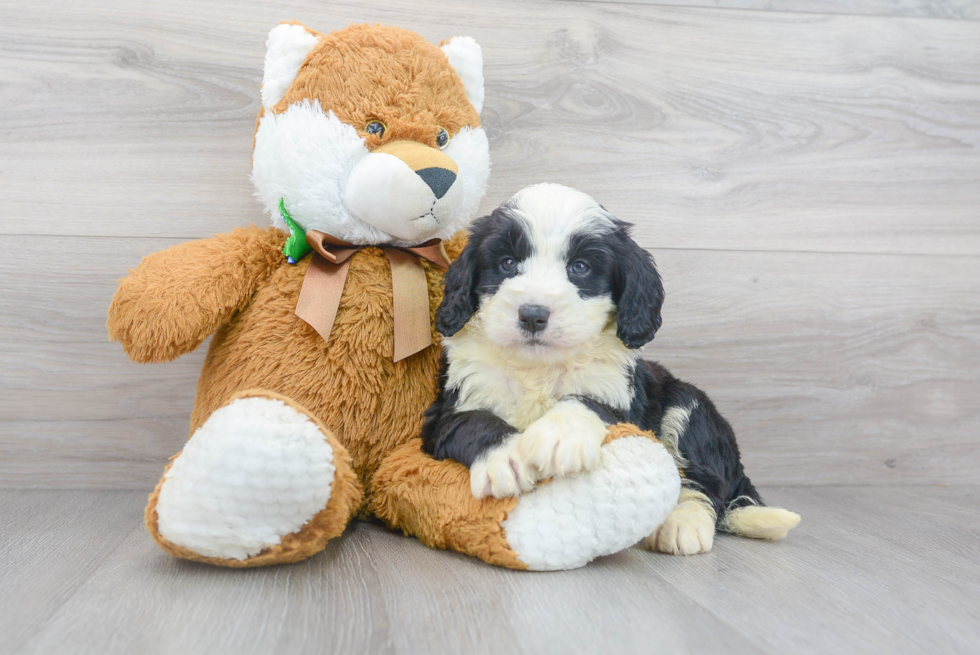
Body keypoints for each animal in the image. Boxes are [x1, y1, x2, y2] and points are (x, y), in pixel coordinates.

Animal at [420, 183, 796, 552]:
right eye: (507, 263)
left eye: (580, 267)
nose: (532, 315)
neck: (538, 368)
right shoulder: (452, 405)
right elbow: (473, 421)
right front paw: (508, 457)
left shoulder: (619, 398)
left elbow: (585, 401)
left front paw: (559, 435)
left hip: (690, 407)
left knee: (705, 481)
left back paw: (682, 523)